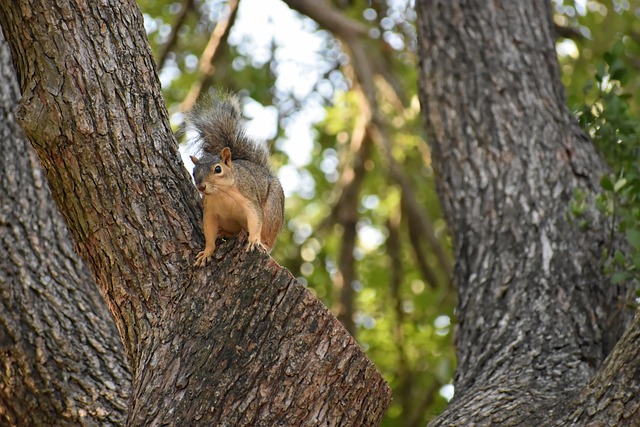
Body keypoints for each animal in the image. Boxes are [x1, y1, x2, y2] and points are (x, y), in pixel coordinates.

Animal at [188, 94, 285, 267]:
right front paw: (207, 252)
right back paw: (224, 232)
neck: (221, 193)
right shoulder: (210, 210)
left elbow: (255, 218)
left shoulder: (249, 198)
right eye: (193, 172)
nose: (201, 187)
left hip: (273, 212)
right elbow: (209, 231)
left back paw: (264, 244)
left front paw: (254, 241)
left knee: (268, 236)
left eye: (218, 169)